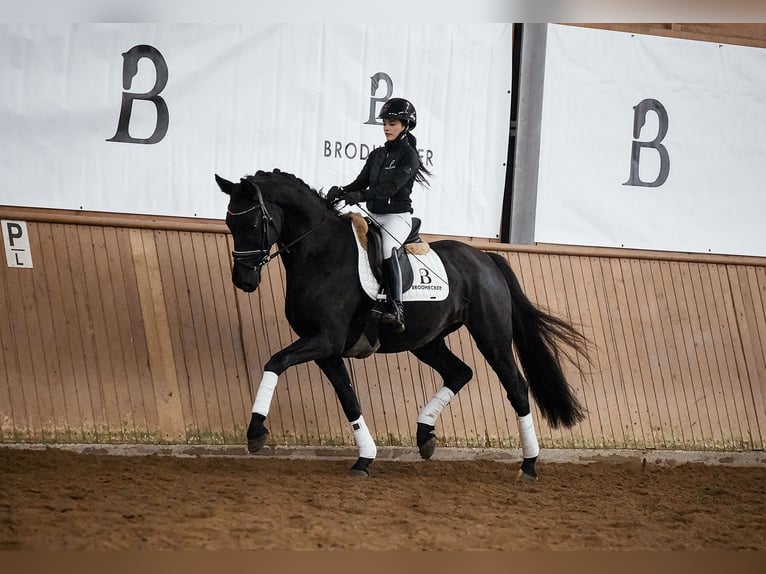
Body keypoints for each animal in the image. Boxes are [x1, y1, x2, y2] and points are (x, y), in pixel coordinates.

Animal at [215, 169, 591, 480]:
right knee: (459, 373)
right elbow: (348, 398)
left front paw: (255, 432)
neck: (321, 254)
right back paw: (425, 435)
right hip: (426, 341)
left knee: (516, 387)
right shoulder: (325, 348)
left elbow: (275, 362)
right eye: (230, 225)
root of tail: (485, 258)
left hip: (491, 336)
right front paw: (364, 458)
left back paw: (529, 465)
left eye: (252, 225)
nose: (244, 281)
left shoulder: (324, 340)